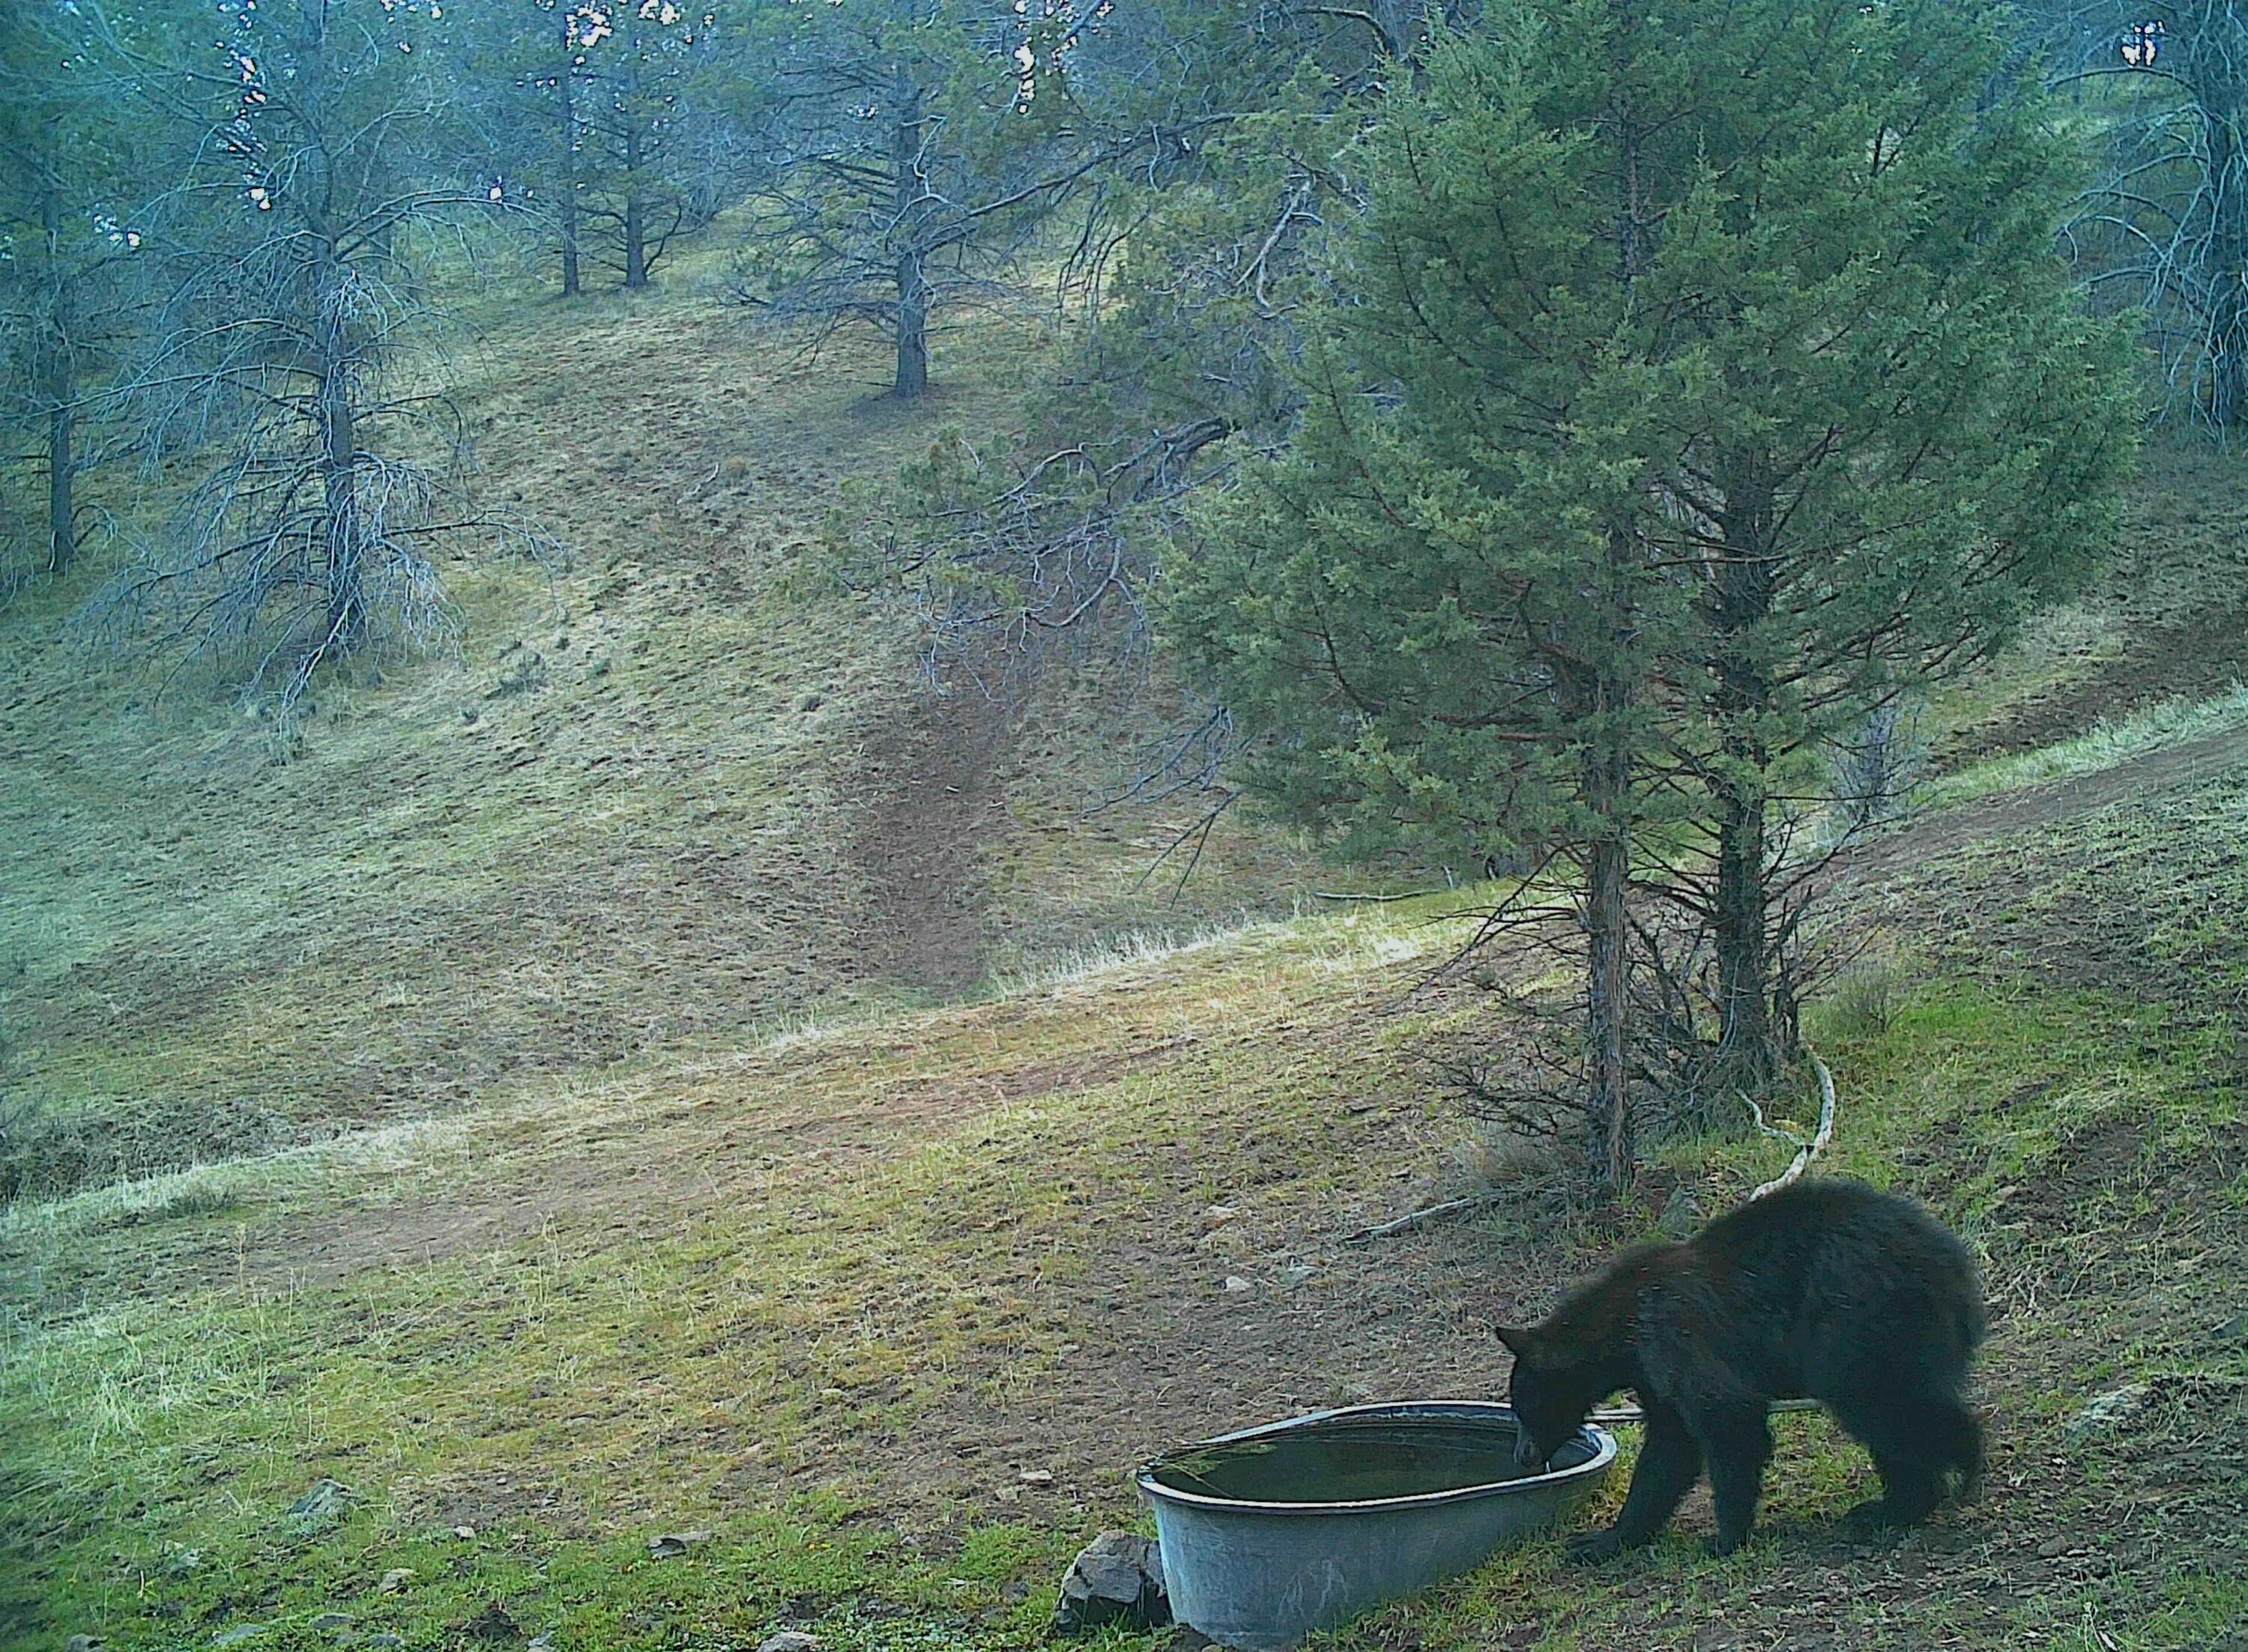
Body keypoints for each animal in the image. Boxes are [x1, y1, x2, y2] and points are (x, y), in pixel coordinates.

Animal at [1499, 1177, 1985, 1563]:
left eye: (1524, 1406)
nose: (1521, 1455)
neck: (1623, 1328)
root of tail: (1954, 1266)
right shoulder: (1655, 1375)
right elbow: (1669, 1452)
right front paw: (1606, 1540)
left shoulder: (1676, 1335)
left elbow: (1729, 1422)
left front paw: (1725, 1538)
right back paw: (1891, 1508)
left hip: (1859, 1322)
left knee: (1882, 1404)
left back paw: (1962, 1462)